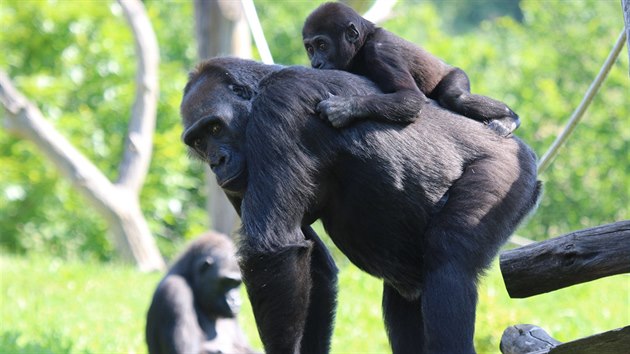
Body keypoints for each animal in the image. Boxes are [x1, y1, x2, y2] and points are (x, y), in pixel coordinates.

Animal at [179, 58, 544, 354]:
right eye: (198, 141)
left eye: (215, 127)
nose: (217, 162)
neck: (257, 95)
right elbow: (312, 265)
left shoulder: (278, 108)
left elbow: (273, 248)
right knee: (407, 292)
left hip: (509, 172)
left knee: (449, 260)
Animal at [304, 2, 520, 136]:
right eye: (310, 49)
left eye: (322, 45)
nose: (316, 64)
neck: (363, 42)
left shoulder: (381, 52)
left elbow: (411, 97)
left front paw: (343, 108)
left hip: (457, 74)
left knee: (456, 96)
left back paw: (509, 118)